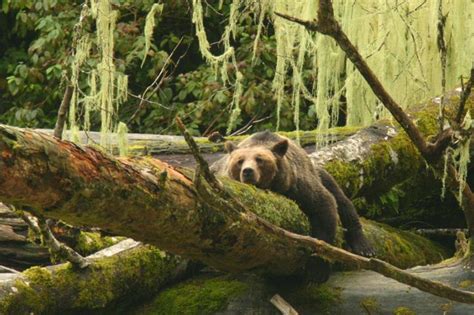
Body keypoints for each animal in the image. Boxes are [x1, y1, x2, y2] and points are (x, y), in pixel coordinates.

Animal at [211, 131, 374, 282]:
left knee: (342, 201)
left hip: (320, 175)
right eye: (240, 161)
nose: (248, 171)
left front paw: (317, 270)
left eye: (260, 159)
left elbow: (324, 206)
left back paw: (364, 248)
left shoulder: (297, 186)